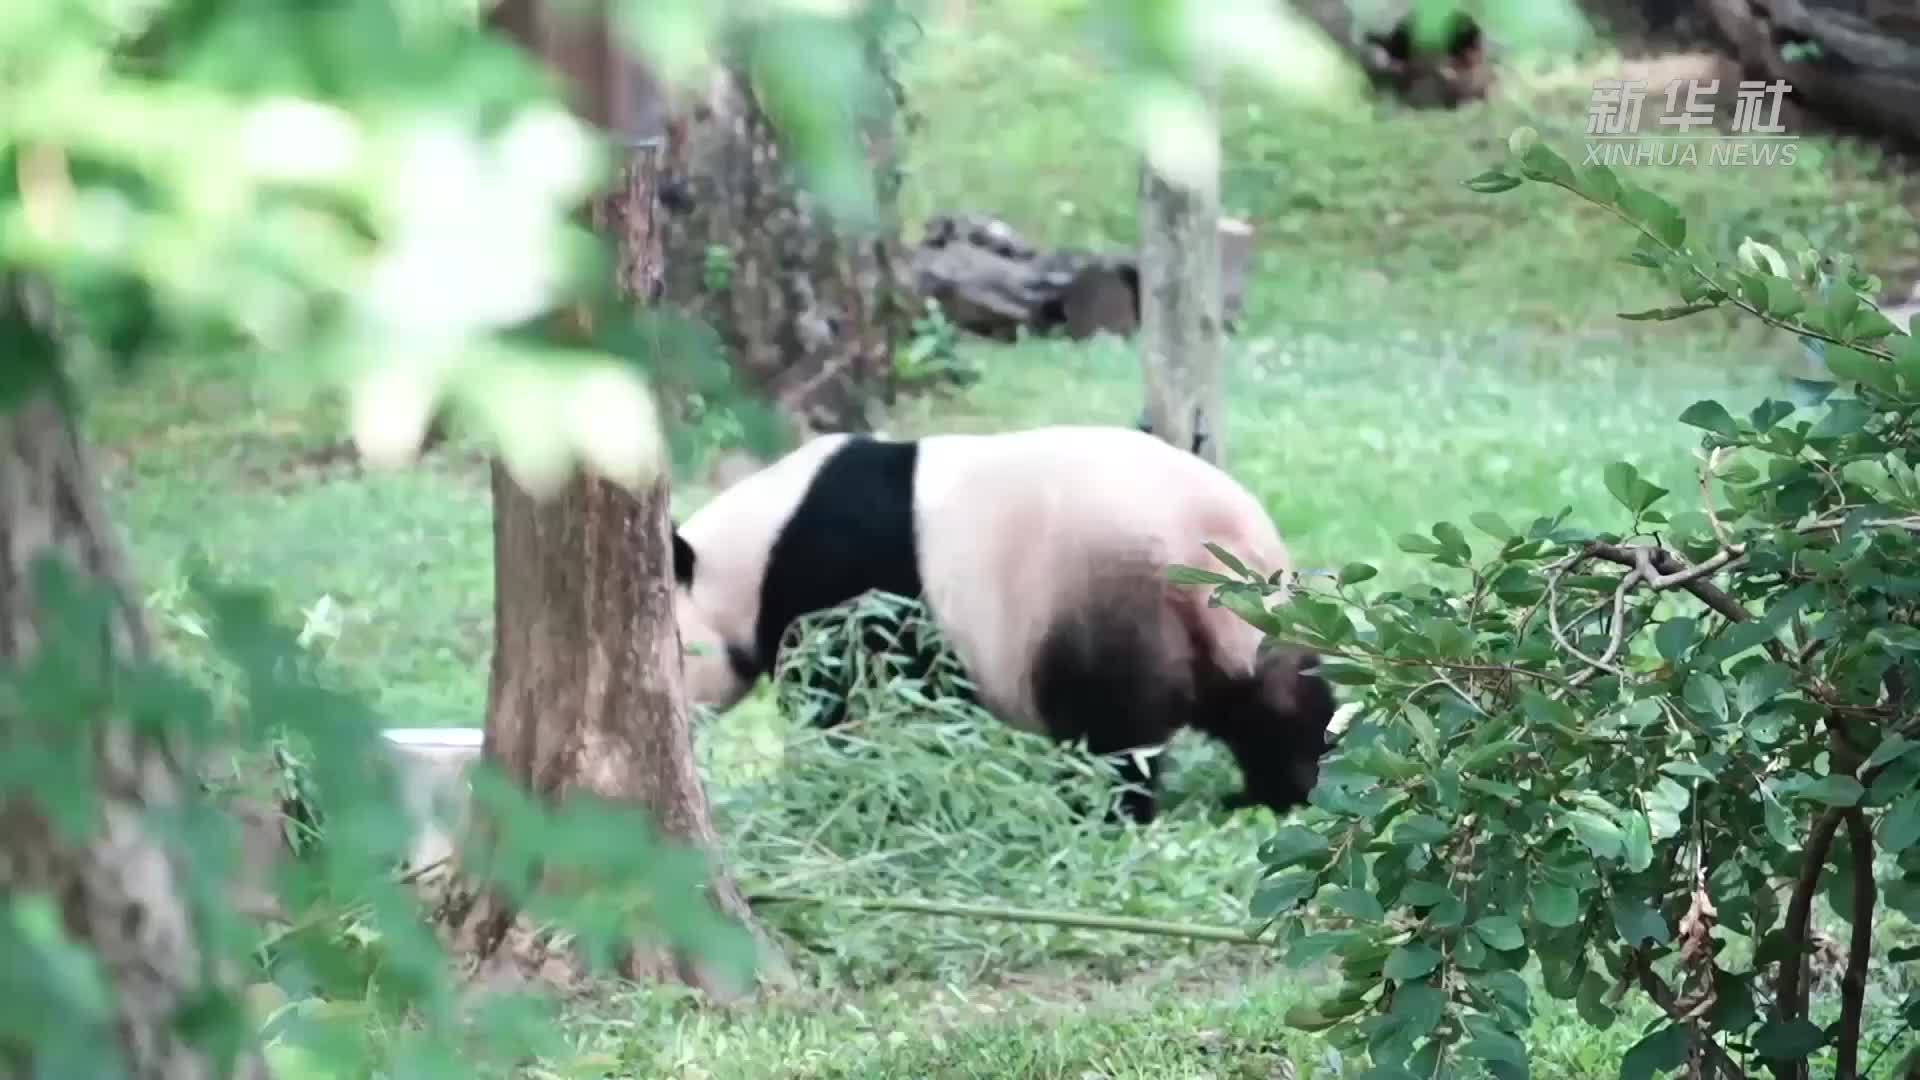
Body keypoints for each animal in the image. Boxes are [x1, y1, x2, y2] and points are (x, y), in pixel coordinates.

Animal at [672, 424, 1336, 818]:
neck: (751, 550)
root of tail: (1212, 544)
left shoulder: (842, 577)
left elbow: (852, 696)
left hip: (1106, 598)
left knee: (1114, 731)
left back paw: (1100, 809)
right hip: (1260, 614)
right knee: (1275, 703)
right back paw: (1286, 791)